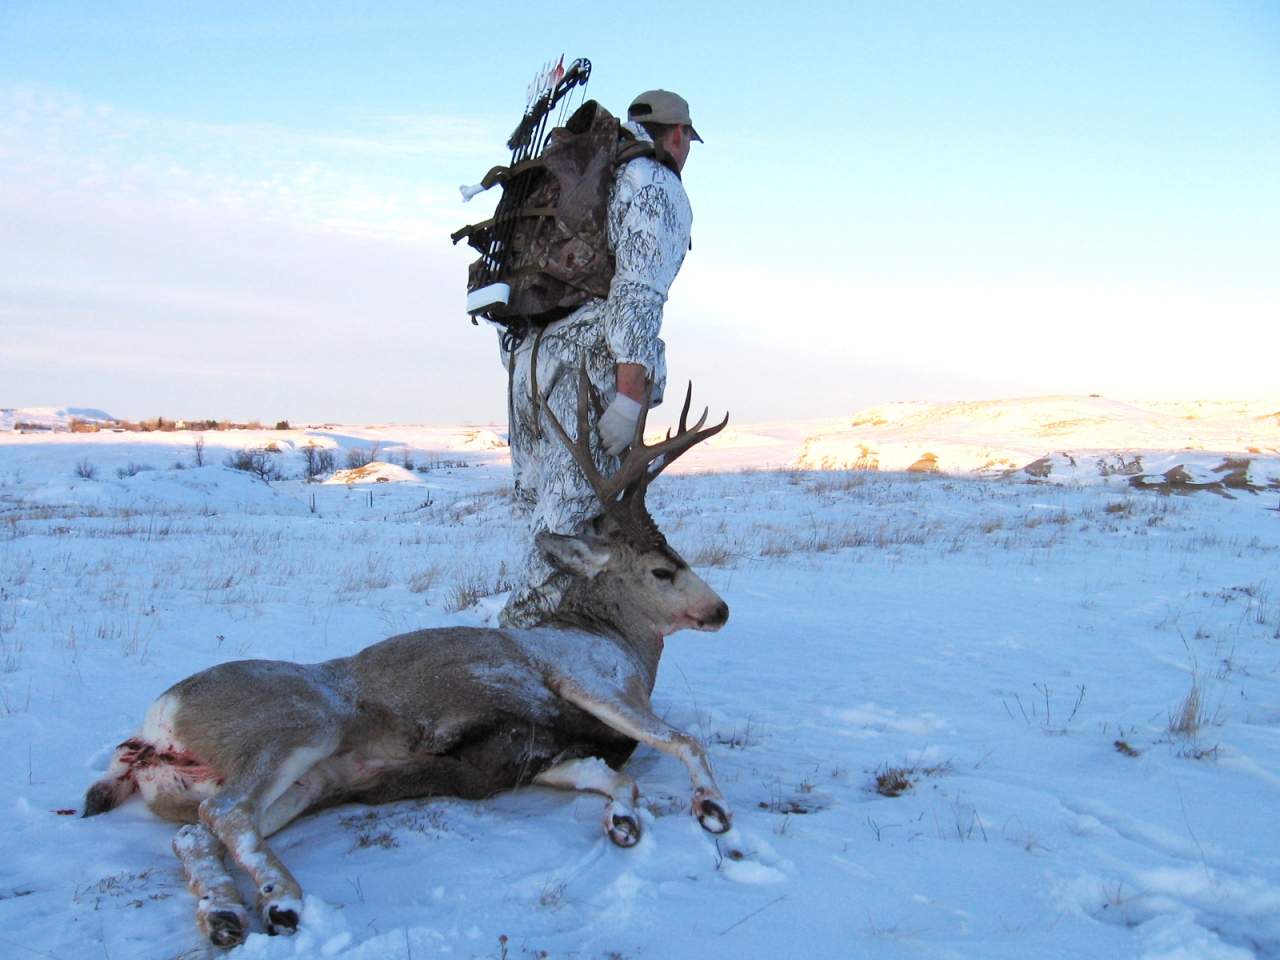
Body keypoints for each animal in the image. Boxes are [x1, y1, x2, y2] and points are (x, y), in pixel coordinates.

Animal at [82, 378, 732, 957]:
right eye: (662, 570)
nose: (721, 610)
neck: (616, 643)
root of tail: (153, 726)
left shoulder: (542, 754)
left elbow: (615, 778)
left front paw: (623, 822)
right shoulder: (579, 677)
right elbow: (680, 739)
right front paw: (712, 809)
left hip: (295, 784)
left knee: (197, 832)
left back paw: (225, 914)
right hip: (299, 724)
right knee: (223, 813)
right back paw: (282, 901)